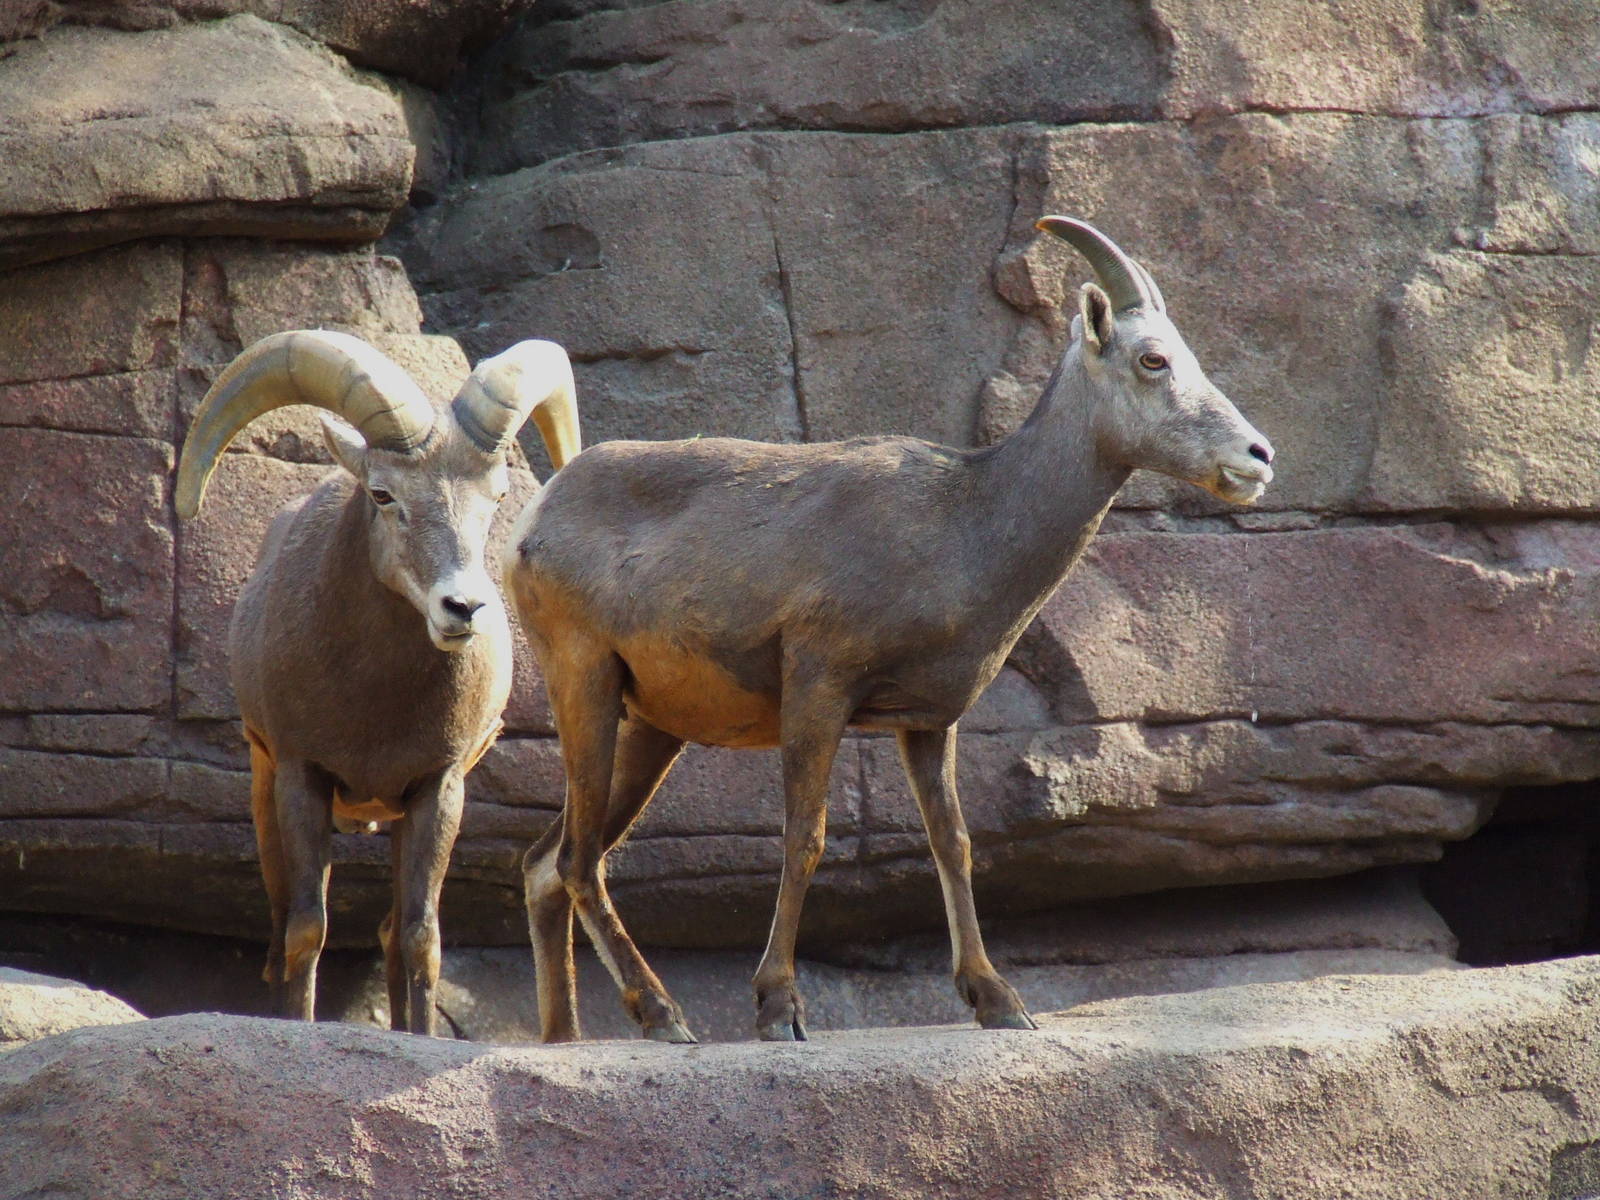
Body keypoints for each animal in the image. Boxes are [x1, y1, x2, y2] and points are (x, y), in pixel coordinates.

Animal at [175, 329, 580, 1034]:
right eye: (384, 495)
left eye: (498, 498)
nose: (463, 608)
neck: (373, 706)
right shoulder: (301, 778)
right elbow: (307, 929)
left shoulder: (436, 790)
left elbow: (420, 936)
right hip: (263, 791)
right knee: (279, 929)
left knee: (392, 933)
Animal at [503, 217, 1275, 1043]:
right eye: (1152, 358)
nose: (1258, 457)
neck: (964, 525)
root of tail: (535, 519)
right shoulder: (820, 684)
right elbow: (806, 837)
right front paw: (780, 1009)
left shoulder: (927, 723)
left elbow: (953, 843)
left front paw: (999, 1002)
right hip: (584, 680)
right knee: (577, 860)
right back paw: (664, 1016)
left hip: (652, 727)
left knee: (550, 863)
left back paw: (571, 1036)